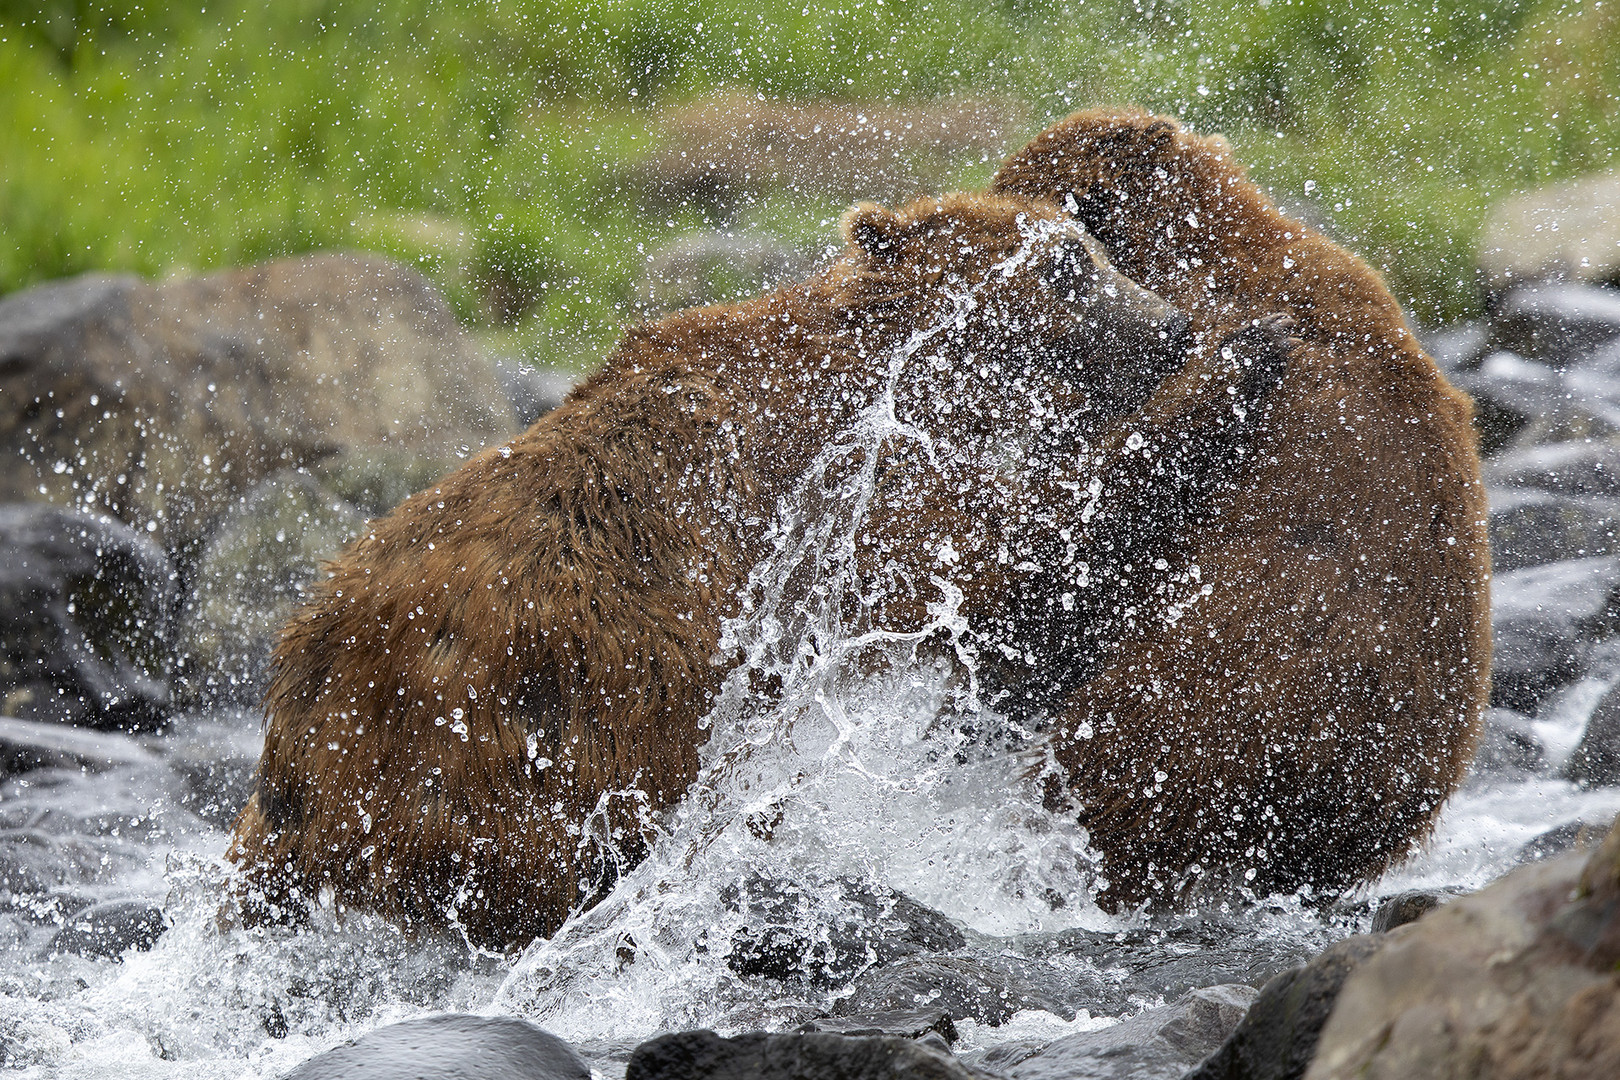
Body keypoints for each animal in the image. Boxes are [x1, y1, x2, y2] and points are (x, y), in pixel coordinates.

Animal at [231, 190, 1289, 952]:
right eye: (1073, 262)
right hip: (516, 738)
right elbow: (1006, 570)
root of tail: (294, 723)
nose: (1172, 325)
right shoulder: (856, 497)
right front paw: (1249, 354)